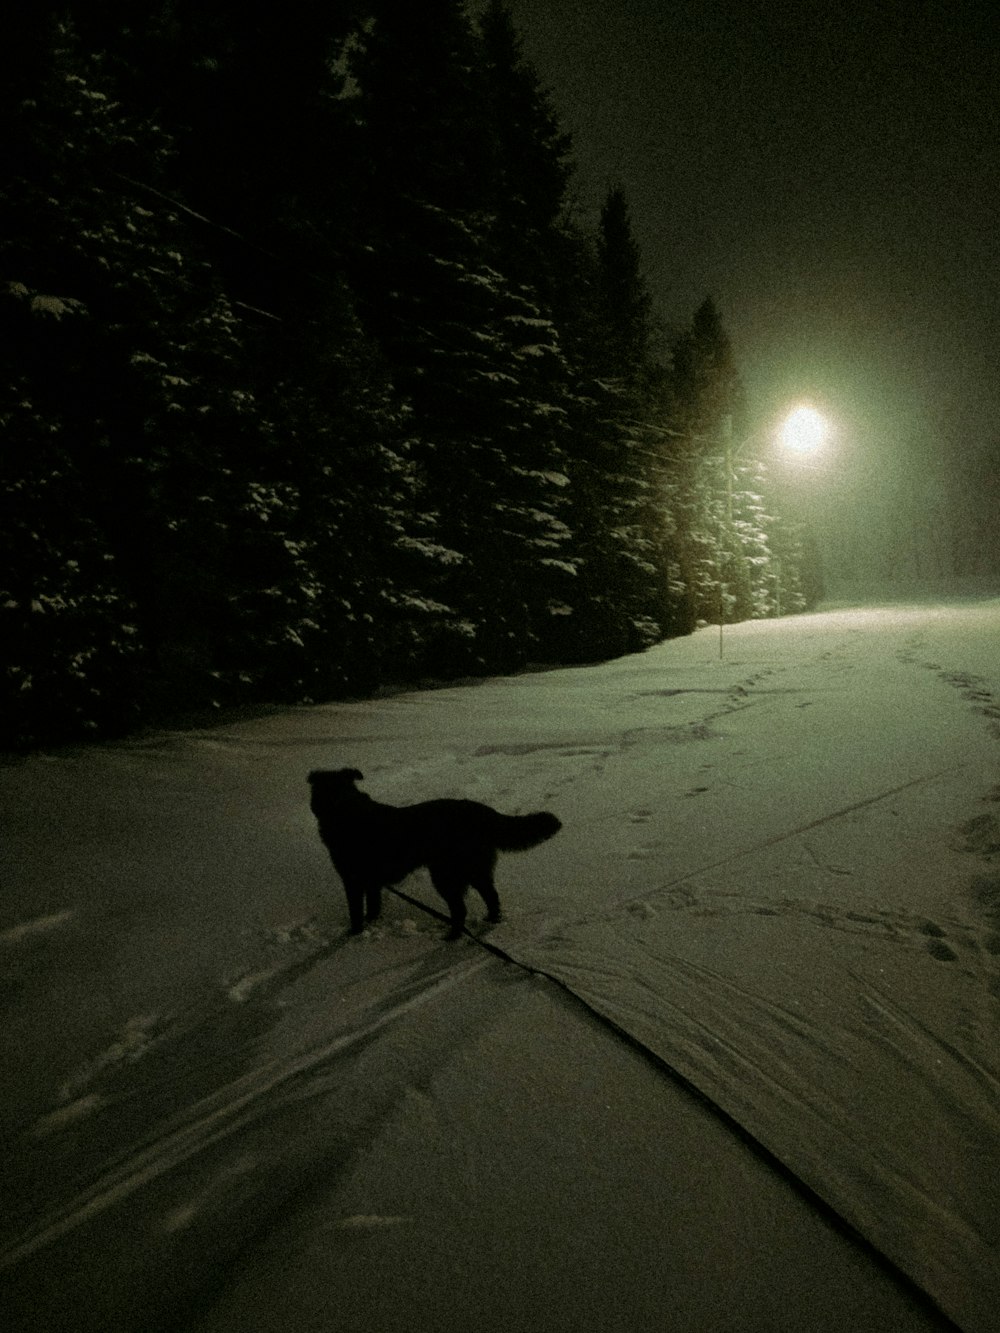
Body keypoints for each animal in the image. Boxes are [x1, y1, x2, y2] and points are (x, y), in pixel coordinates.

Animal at [309, 767, 560, 943]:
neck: (344, 807)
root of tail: (482, 812)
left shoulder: (353, 880)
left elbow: (355, 913)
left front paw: (353, 935)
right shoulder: (372, 883)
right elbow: (372, 907)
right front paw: (371, 924)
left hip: (446, 875)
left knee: (461, 909)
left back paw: (452, 938)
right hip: (476, 871)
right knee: (492, 897)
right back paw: (490, 922)